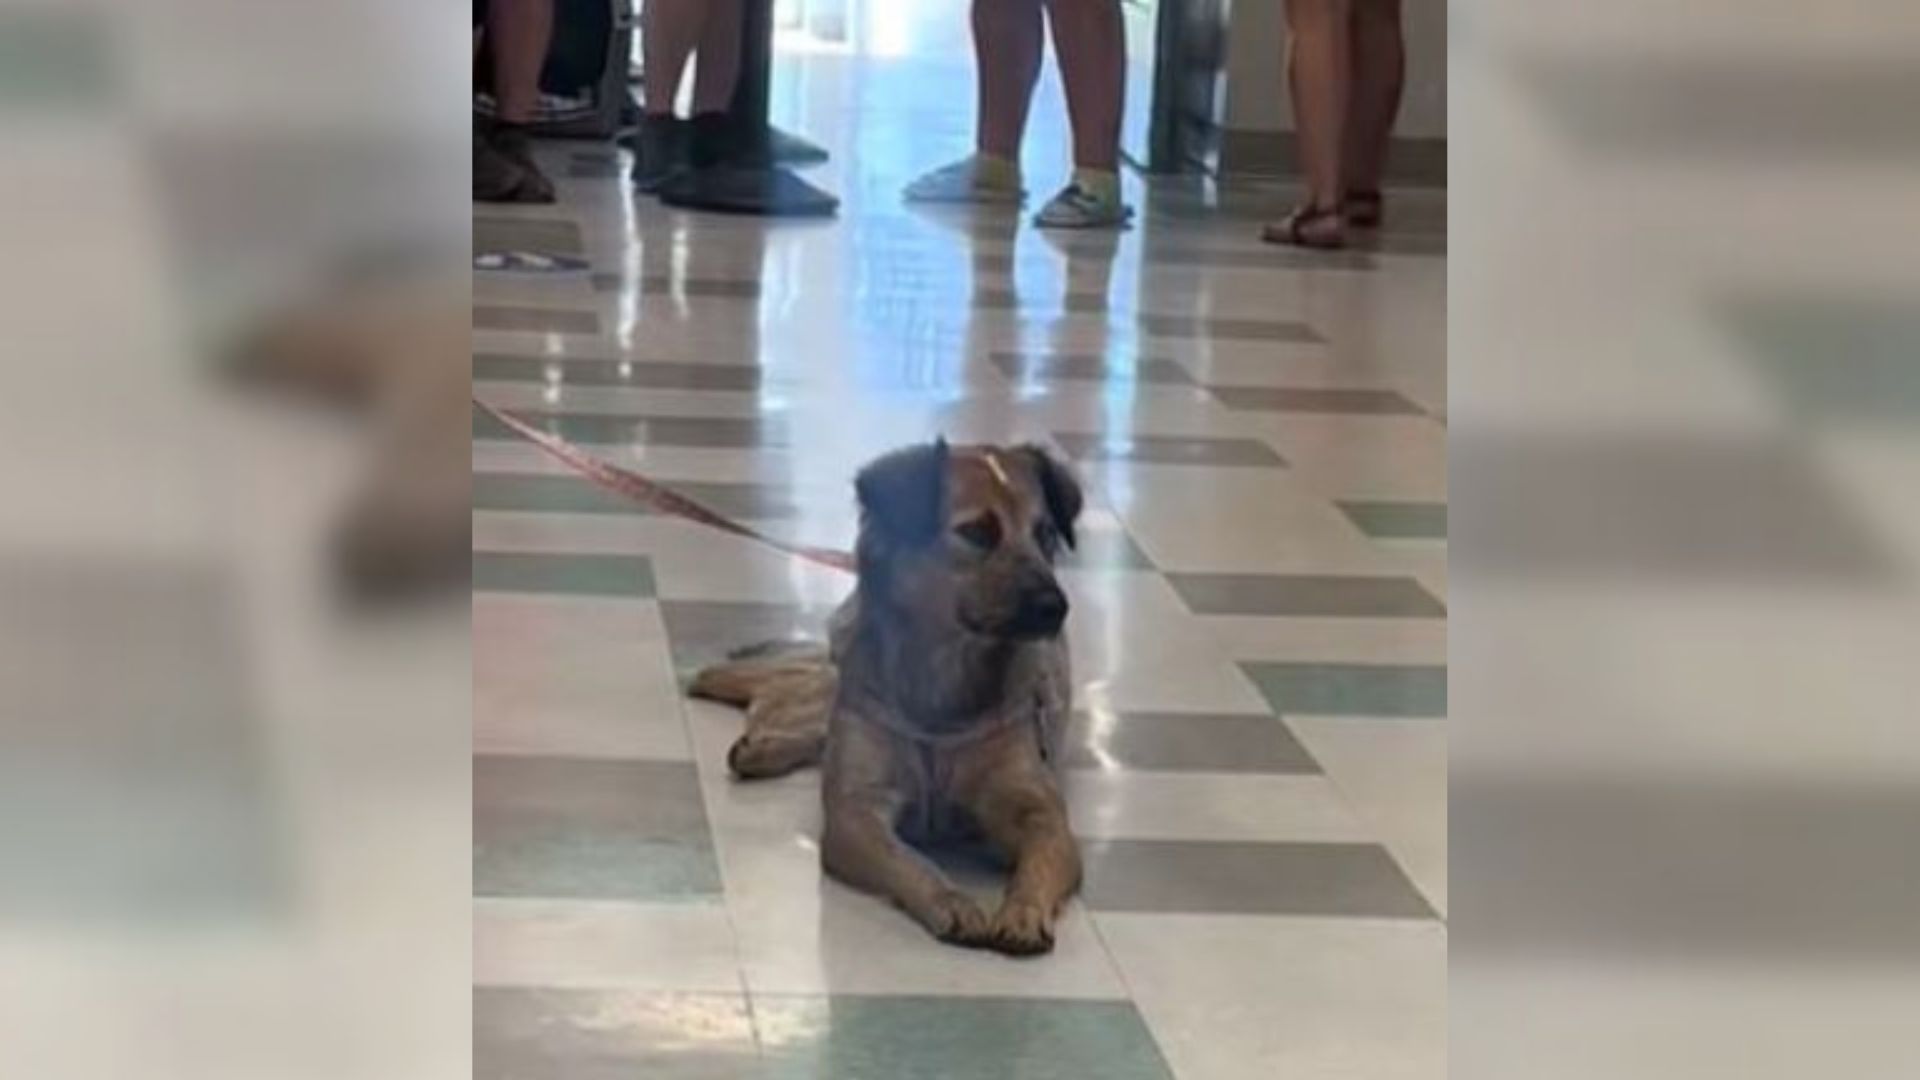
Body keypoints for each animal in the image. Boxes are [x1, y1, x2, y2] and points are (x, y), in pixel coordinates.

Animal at [691, 438, 1082, 949]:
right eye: (977, 531)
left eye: (1046, 534)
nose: (1055, 607)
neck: (945, 676)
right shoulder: (855, 813)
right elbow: (908, 860)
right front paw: (950, 900)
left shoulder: (1039, 810)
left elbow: (1042, 857)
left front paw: (1024, 910)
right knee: (789, 694)